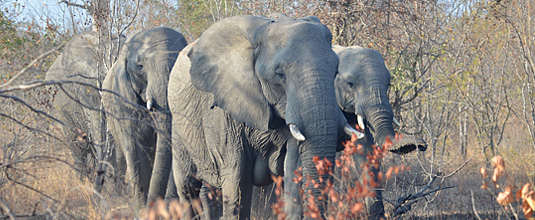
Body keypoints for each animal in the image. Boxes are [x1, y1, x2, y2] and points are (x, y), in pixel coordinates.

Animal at [165, 14, 364, 219]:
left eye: (335, 72)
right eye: (280, 75)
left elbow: (293, 169)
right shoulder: (225, 113)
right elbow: (237, 181)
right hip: (179, 127)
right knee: (188, 186)